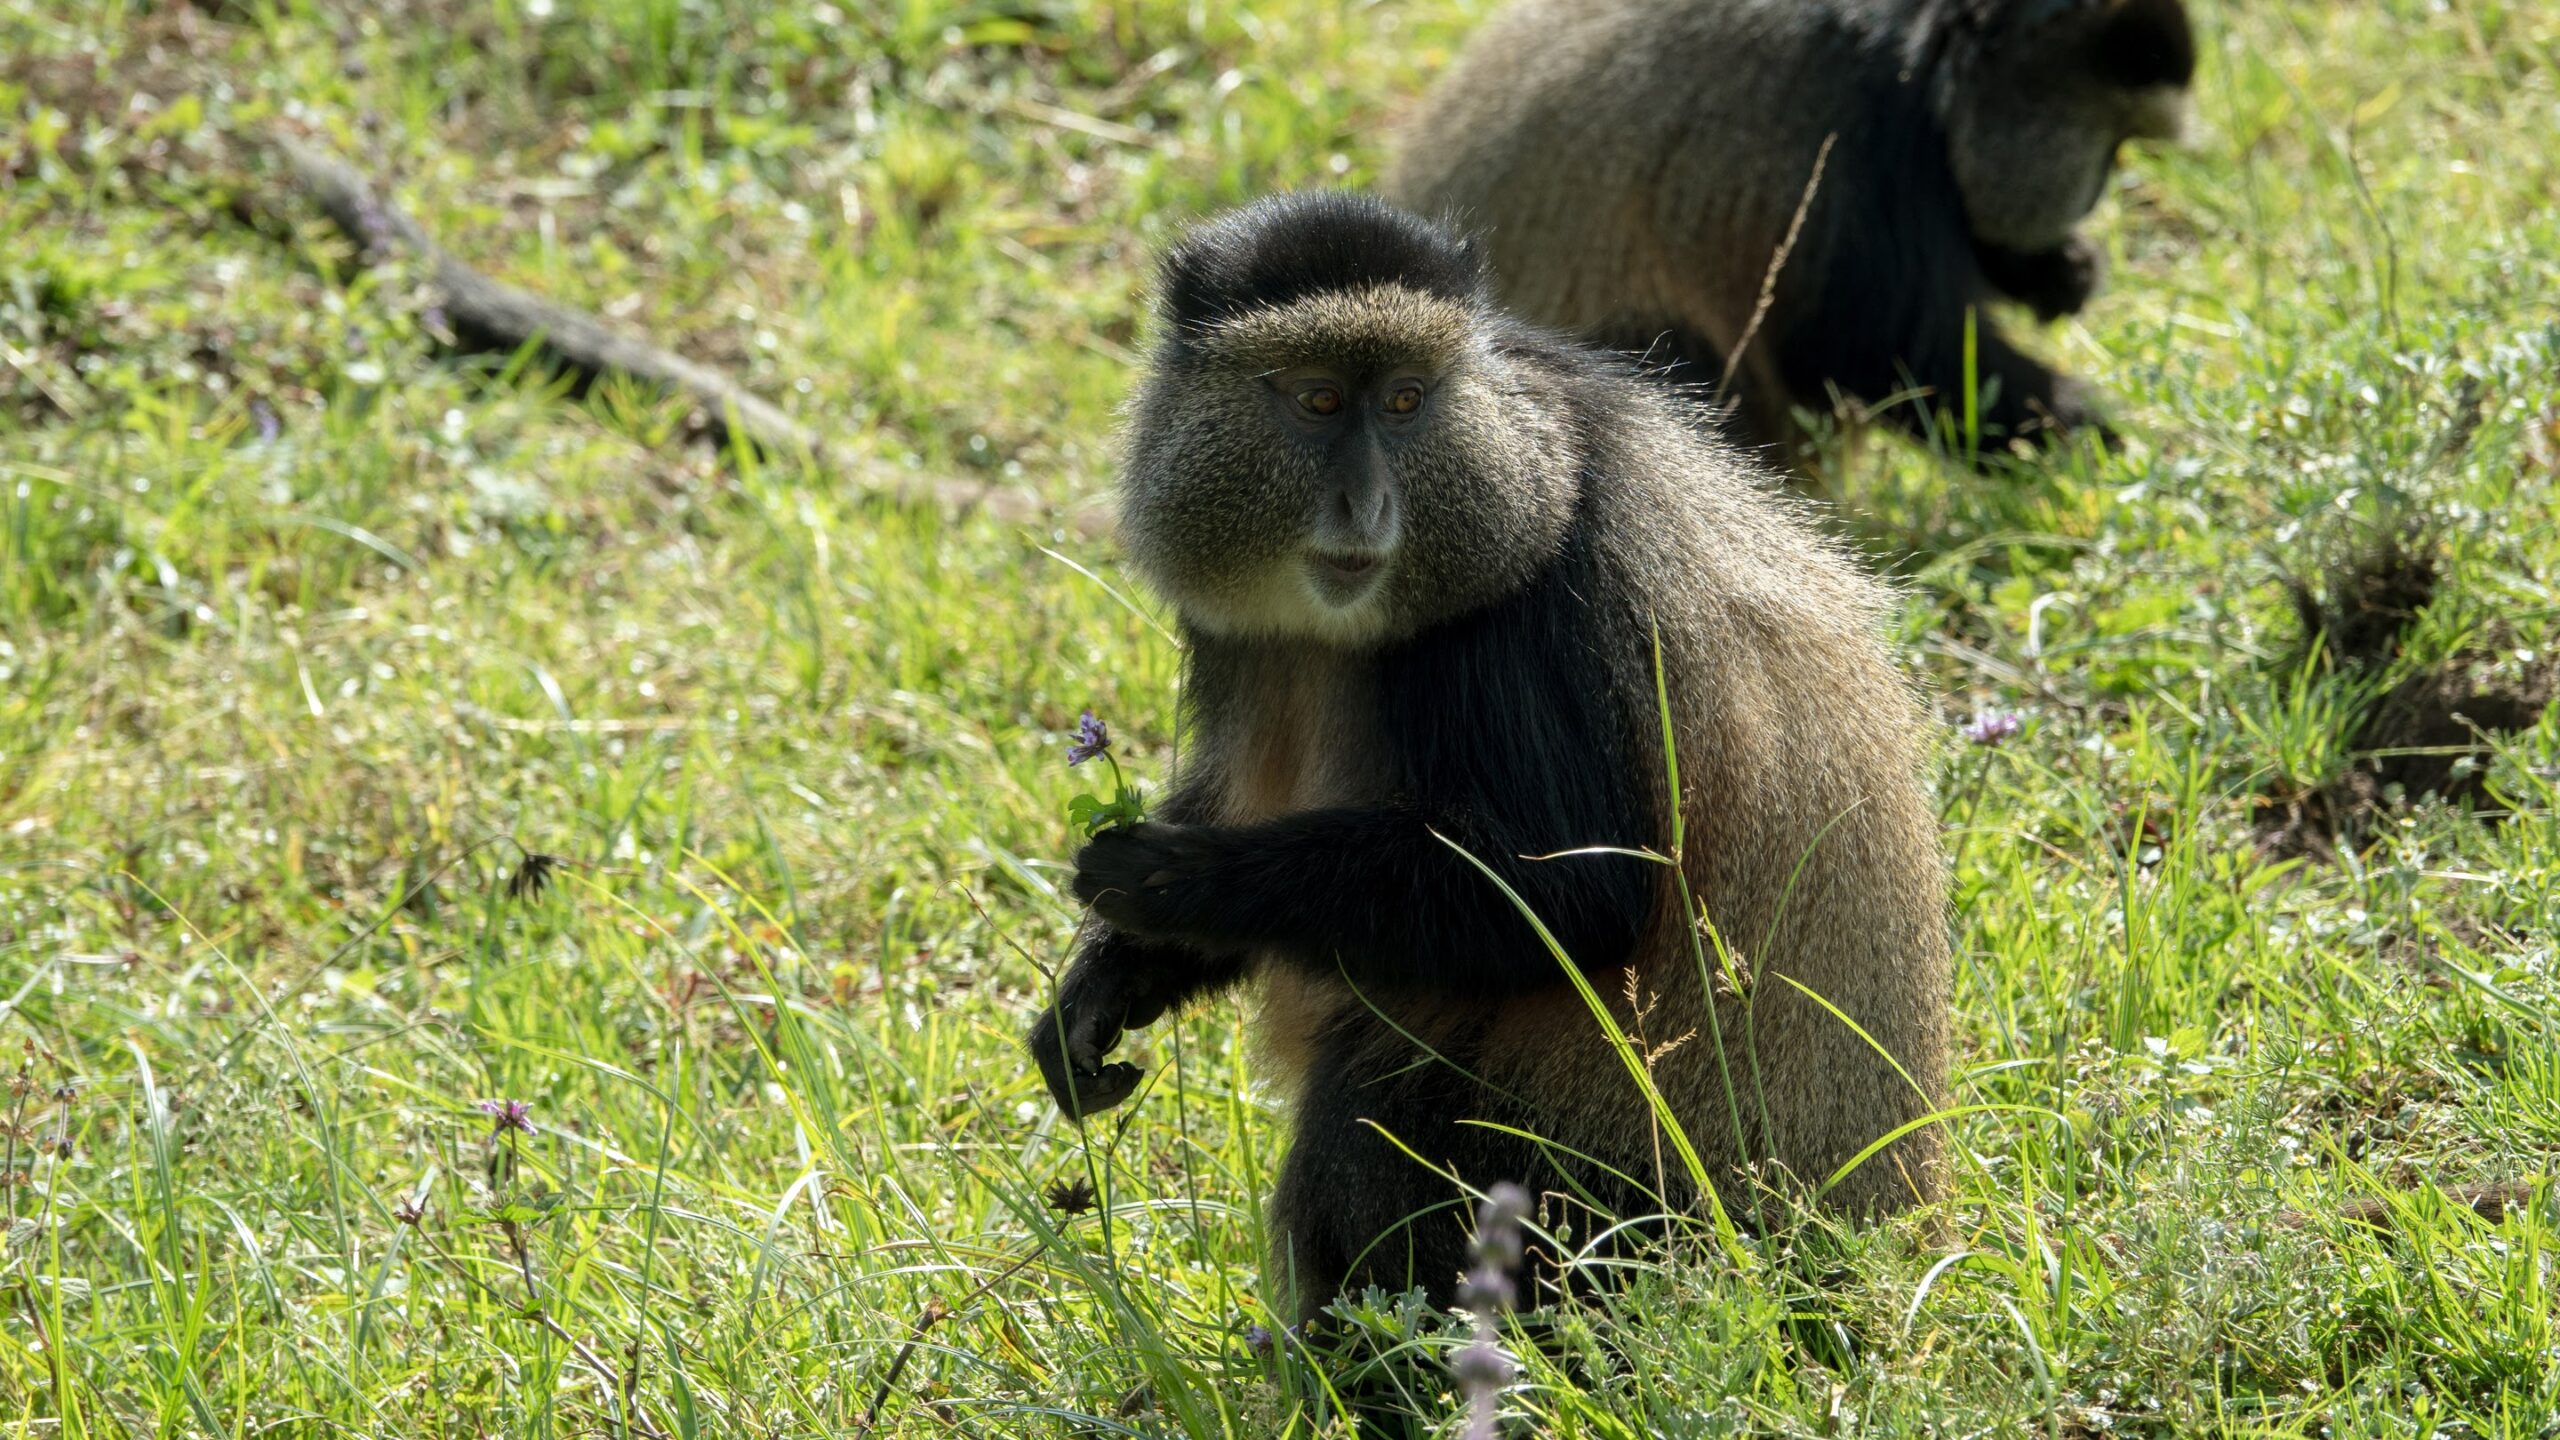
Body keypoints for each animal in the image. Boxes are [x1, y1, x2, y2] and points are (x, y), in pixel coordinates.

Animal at [1024, 192, 1951, 1327]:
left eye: (1406, 400)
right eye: (1320, 400)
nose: (1366, 506)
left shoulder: (1530, 618)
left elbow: (1578, 896)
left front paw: (1171, 880)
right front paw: (1102, 986)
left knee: (1370, 1117)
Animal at [1383, 0, 2196, 469]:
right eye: (2113, 144)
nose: (2098, 190)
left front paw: (2060, 271)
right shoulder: (1858, 123)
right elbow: (1867, 348)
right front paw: (2085, 432)